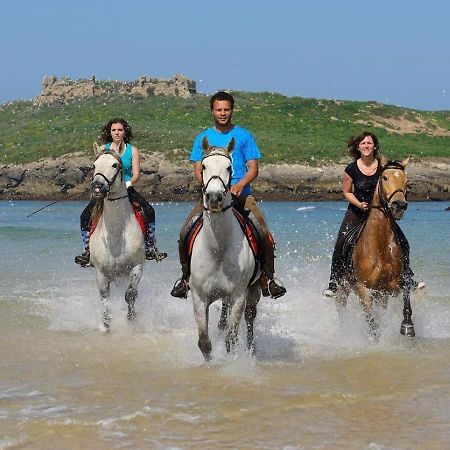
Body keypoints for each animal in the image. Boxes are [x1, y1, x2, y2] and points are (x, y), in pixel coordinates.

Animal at [88, 145, 144, 330]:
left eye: (114, 165)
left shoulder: (137, 267)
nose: (98, 186)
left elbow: (130, 295)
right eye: (94, 165)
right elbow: (105, 299)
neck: (116, 233)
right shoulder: (101, 273)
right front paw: (106, 326)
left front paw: (132, 320)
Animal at [189, 135, 260, 360]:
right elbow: (204, 342)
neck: (218, 250)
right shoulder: (199, 298)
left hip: (254, 289)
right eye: (203, 166)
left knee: (250, 317)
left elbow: (231, 340)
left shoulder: (238, 296)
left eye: (229, 167)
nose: (214, 198)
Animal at [338, 155, 414, 338]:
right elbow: (372, 321)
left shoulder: (392, 286)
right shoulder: (362, 288)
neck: (380, 246)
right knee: (341, 307)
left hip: (381, 293)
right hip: (342, 287)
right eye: (385, 177)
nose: (399, 205)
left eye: (406, 180)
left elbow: (406, 295)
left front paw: (407, 325)